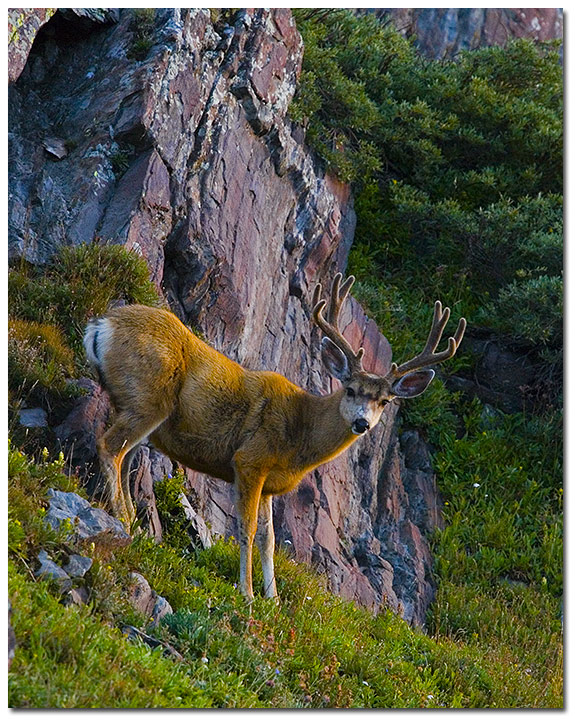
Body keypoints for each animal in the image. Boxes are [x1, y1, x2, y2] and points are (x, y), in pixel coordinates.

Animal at [83, 273, 466, 602]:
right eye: (351, 389)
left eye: (385, 401)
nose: (361, 423)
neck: (299, 436)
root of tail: (101, 326)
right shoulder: (250, 459)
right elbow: (247, 528)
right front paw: (248, 593)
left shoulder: (268, 484)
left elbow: (269, 539)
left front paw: (274, 599)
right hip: (149, 397)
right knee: (109, 447)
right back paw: (124, 522)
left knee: (124, 457)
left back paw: (135, 524)